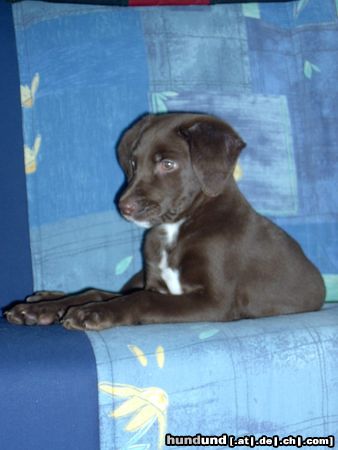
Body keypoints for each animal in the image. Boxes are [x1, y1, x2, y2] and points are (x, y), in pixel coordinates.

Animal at [4, 112, 324, 330]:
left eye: (168, 164)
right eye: (134, 164)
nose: (124, 206)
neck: (177, 229)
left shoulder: (215, 302)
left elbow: (142, 299)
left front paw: (94, 312)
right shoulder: (156, 283)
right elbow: (108, 292)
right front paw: (50, 308)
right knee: (100, 290)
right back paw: (39, 304)